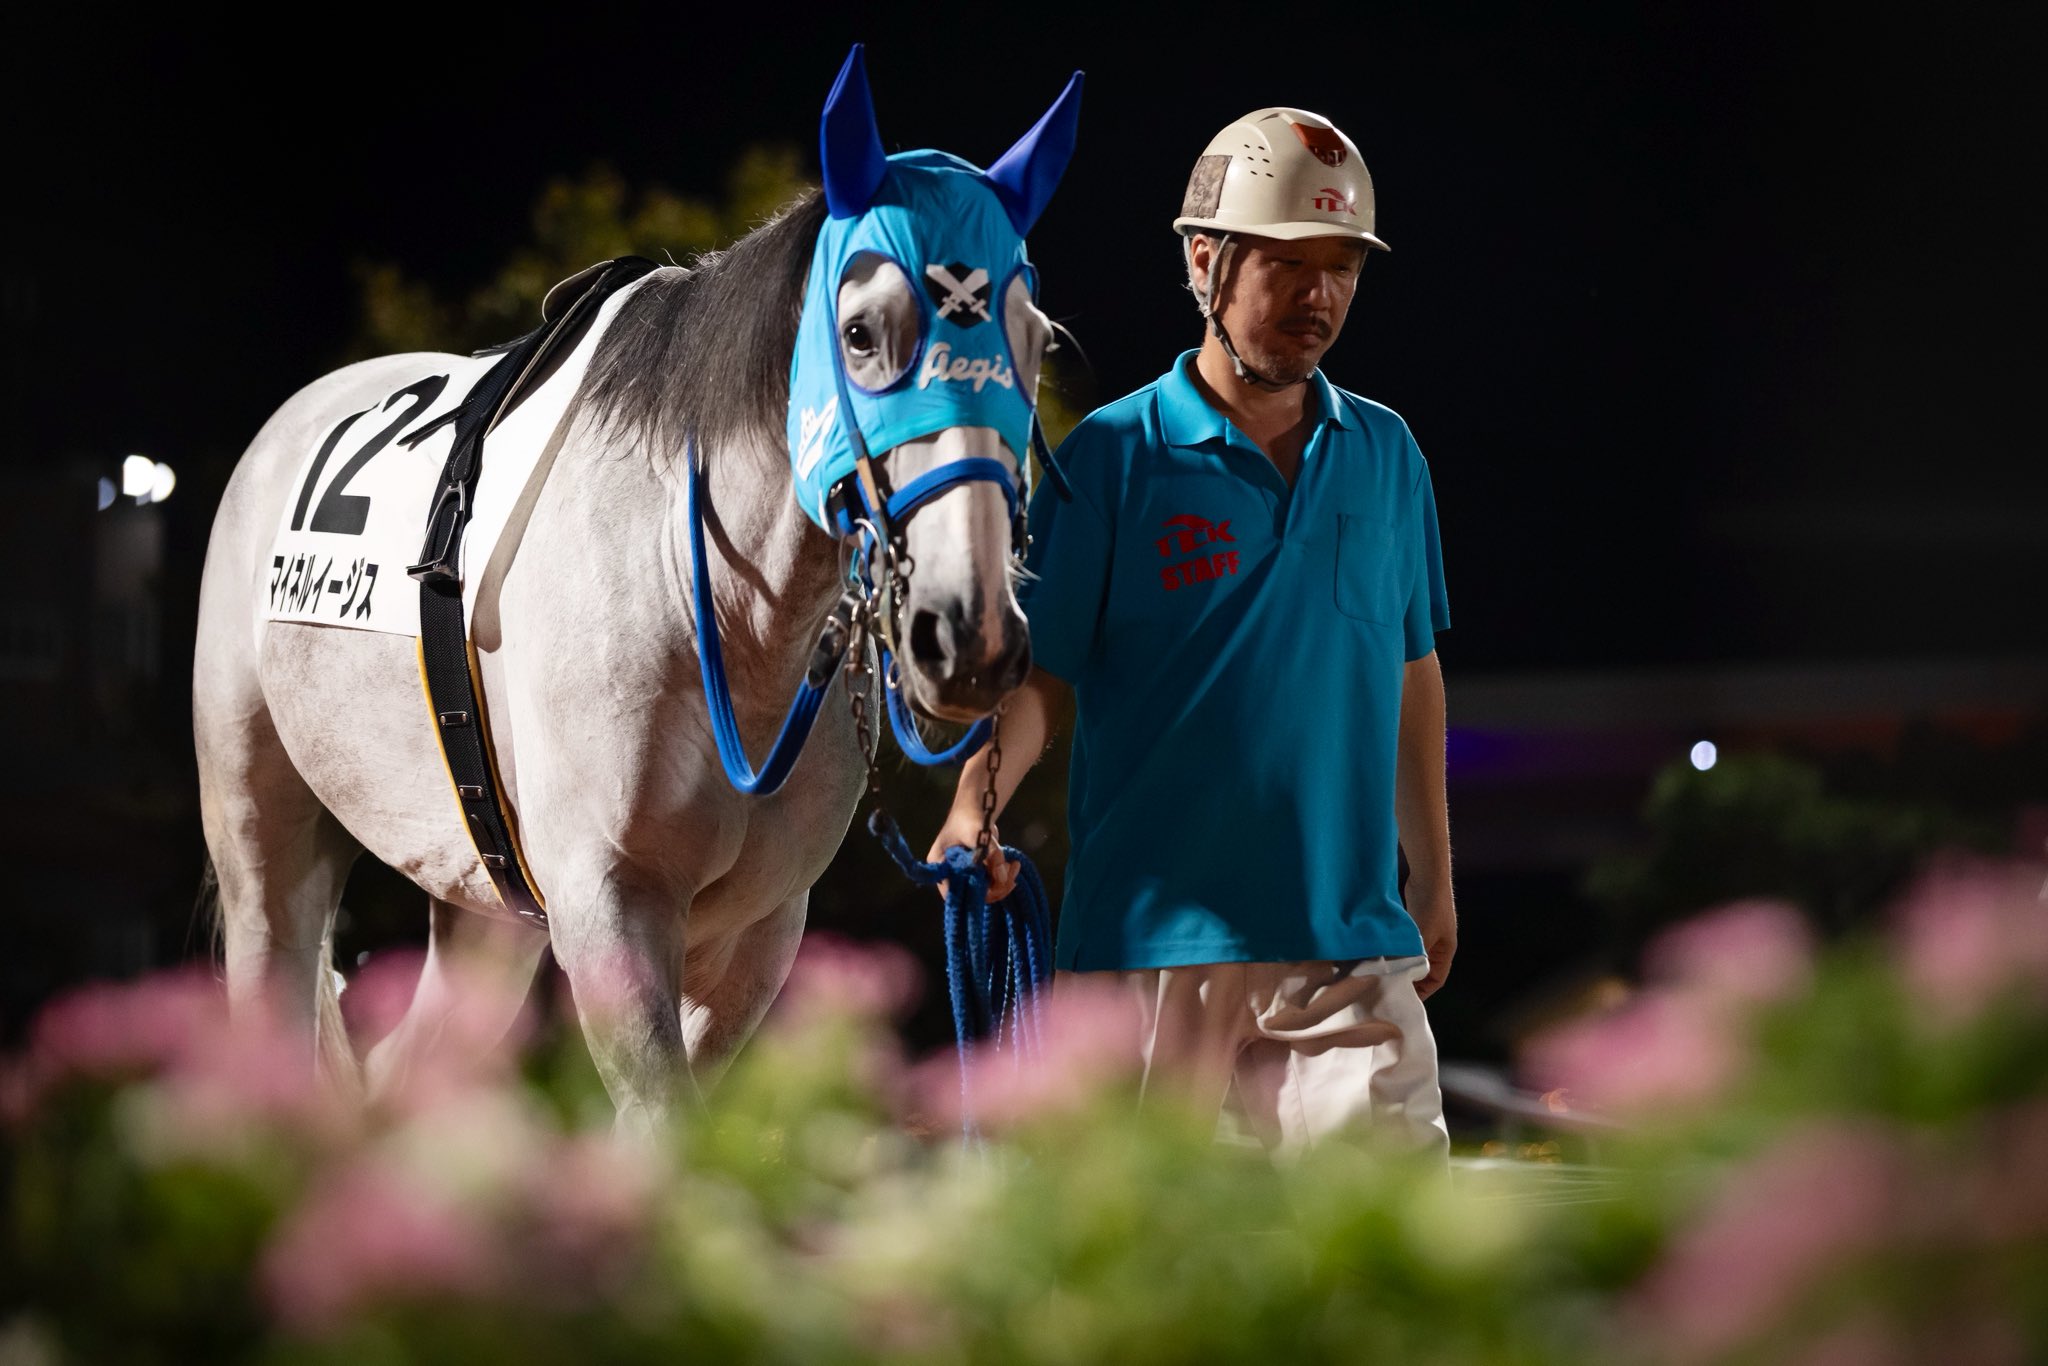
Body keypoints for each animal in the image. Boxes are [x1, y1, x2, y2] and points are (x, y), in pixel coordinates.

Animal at [192, 46, 1082, 1133]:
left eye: (1035, 340)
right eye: (862, 332)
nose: (969, 633)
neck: (722, 620)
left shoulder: (756, 933)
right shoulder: (609, 904)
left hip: (480, 896)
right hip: (264, 840)